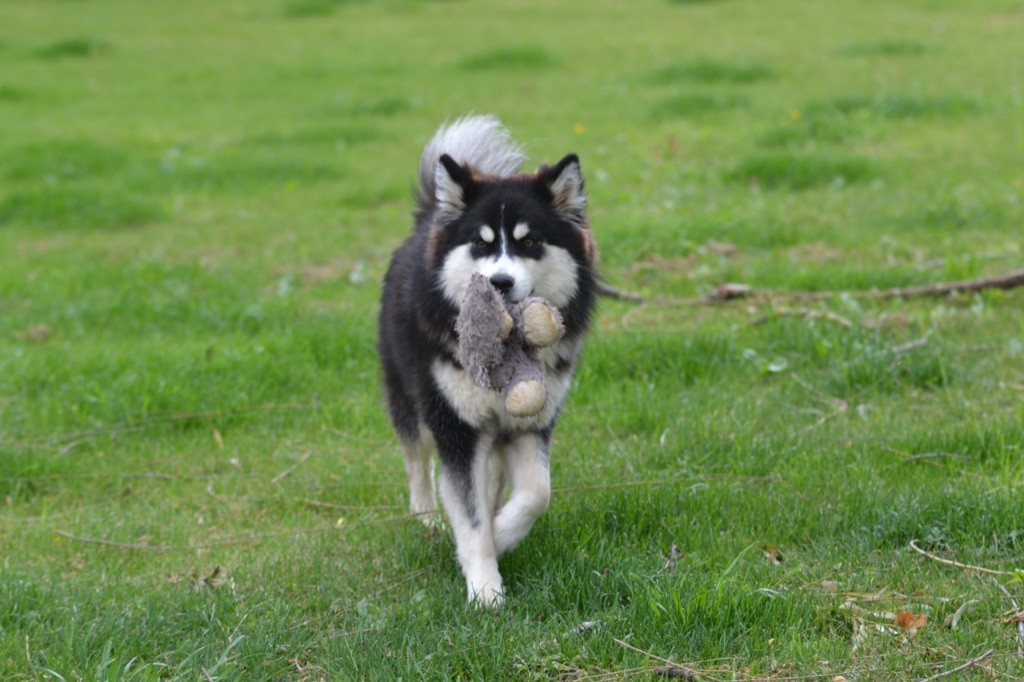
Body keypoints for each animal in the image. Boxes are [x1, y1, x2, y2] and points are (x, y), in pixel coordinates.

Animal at [380, 114, 598, 602]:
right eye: (480, 245)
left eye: (530, 242)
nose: (499, 282)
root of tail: (428, 217)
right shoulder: (456, 428)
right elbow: (468, 511)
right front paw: (484, 588)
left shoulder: (532, 422)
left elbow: (536, 493)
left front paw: (501, 537)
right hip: (408, 399)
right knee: (416, 460)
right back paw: (425, 518)